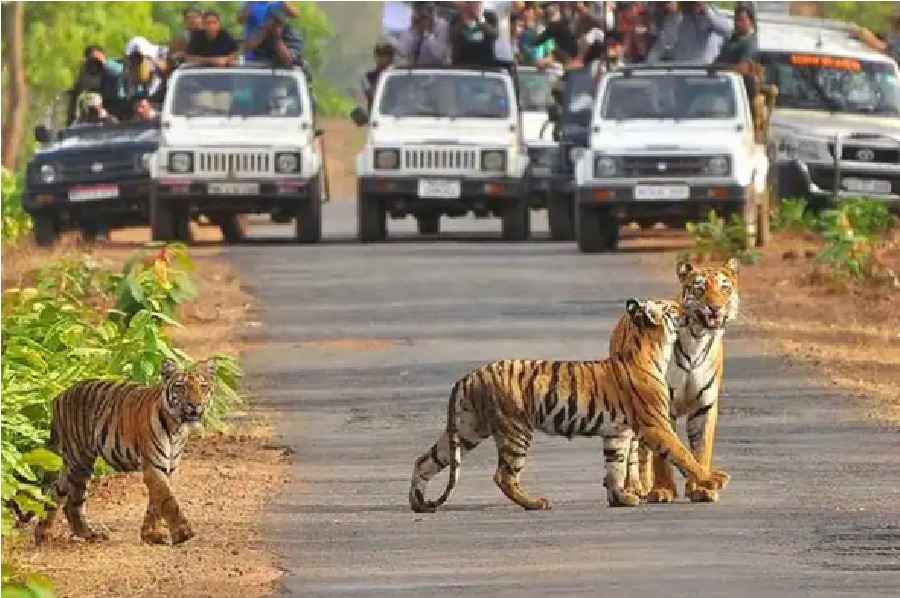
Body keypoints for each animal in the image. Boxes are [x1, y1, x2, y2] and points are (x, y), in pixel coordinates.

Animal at [32, 358, 218, 548]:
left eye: (203, 387)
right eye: (181, 387)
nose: (195, 405)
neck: (177, 427)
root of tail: (59, 396)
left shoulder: (168, 467)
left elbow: (156, 502)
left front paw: (151, 535)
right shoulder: (154, 466)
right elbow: (168, 499)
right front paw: (183, 533)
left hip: (70, 462)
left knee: (55, 493)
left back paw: (43, 534)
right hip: (80, 460)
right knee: (72, 502)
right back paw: (89, 534)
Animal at [408, 298, 732, 512]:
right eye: (673, 308)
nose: (689, 311)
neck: (652, 348)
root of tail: (468, 376)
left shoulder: (617, 432)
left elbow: (615, 467)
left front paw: (621, 498)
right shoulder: (656, 424)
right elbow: (682, 454)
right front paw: (713, 480)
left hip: (467, 429)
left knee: (425, 460)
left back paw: (418, 502)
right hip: (515, 429)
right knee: (504, 475)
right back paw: (536, 503)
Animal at [624, 258, 740, 506]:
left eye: (725, 288)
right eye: (699, 289)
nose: (715, 307)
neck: (697, 338)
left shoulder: (705, 405)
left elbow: (700, 449)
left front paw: (701, 489)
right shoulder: (660, 405)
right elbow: (662, 454)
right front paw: (662, 490)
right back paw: (635, 488)